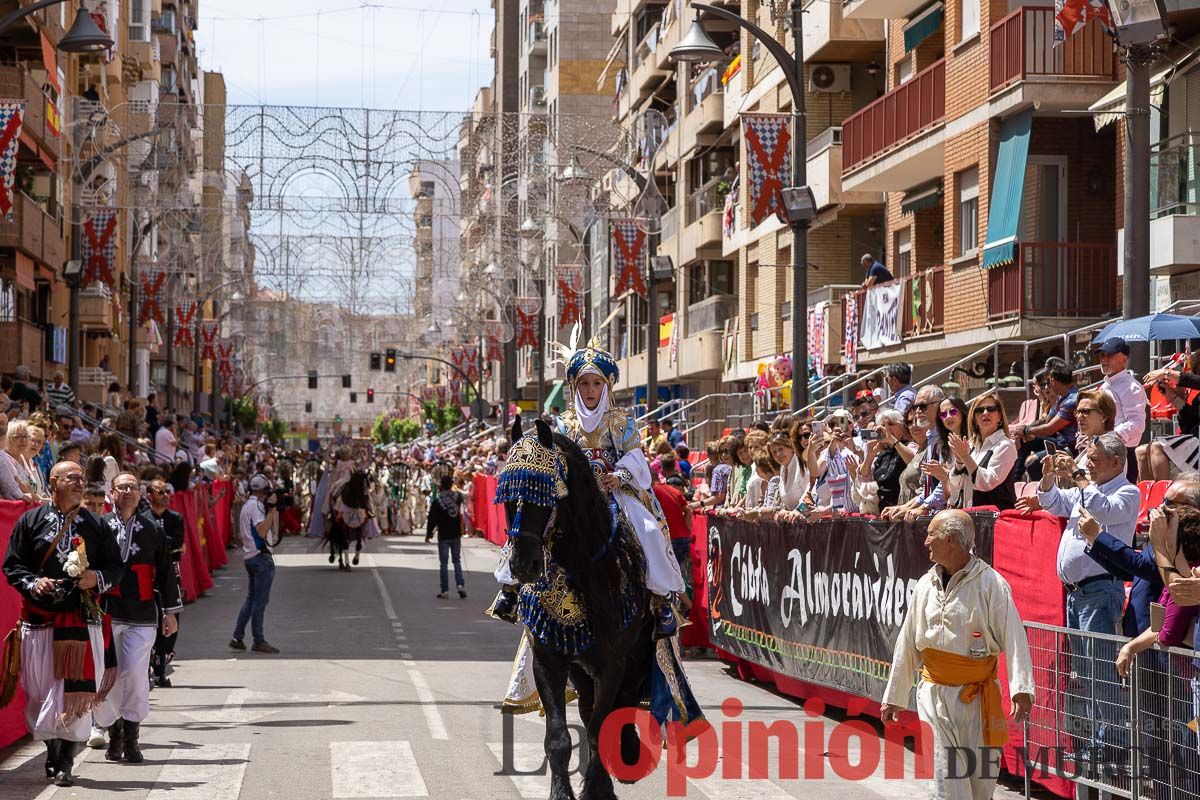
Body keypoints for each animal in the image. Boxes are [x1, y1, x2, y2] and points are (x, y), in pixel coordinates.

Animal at [506, 419, 657, 800]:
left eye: (545, 491)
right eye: (506, 489)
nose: (523, 564)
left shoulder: (613, 663)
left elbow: (603, 723)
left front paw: (598, 789)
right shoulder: (550, 660)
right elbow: (559, 737)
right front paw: (562, 791)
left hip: (637, 656)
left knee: (624, 702)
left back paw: (627, 754)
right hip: (580, 668)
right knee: (589, 710)